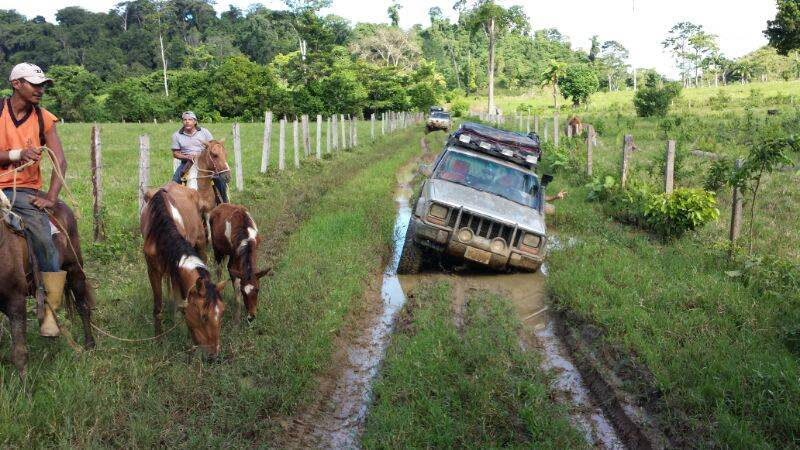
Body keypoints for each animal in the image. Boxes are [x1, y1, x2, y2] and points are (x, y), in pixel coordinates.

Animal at [0, 195, 95, 378]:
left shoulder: (16, 301)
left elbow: (20, 353)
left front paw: (25, 386)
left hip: (74, 269)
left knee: (83, 306)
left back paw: (90, 344)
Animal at [141, 185, 227, 356]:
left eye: (221, 312)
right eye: (203, 316)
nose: (214, 355)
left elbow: (181, 302)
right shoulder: (153, 270)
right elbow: (158, 308)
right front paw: (159, 340)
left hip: (200, 240)